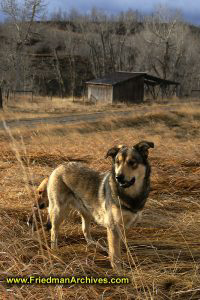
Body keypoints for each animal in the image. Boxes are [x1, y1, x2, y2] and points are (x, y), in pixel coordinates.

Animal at [47, 141, 155, 270]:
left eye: (132, 162)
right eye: (117, 162)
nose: (118, 177)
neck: (130, 195)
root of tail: (60, 166)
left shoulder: (124, 226)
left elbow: (119, 247)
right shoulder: (113, 227)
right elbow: (115, 252)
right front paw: (118, 269)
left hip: (87, 211)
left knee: (85, 229)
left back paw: (94, 245)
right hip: (59, 211)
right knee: (54, 231)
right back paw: (55, 251)